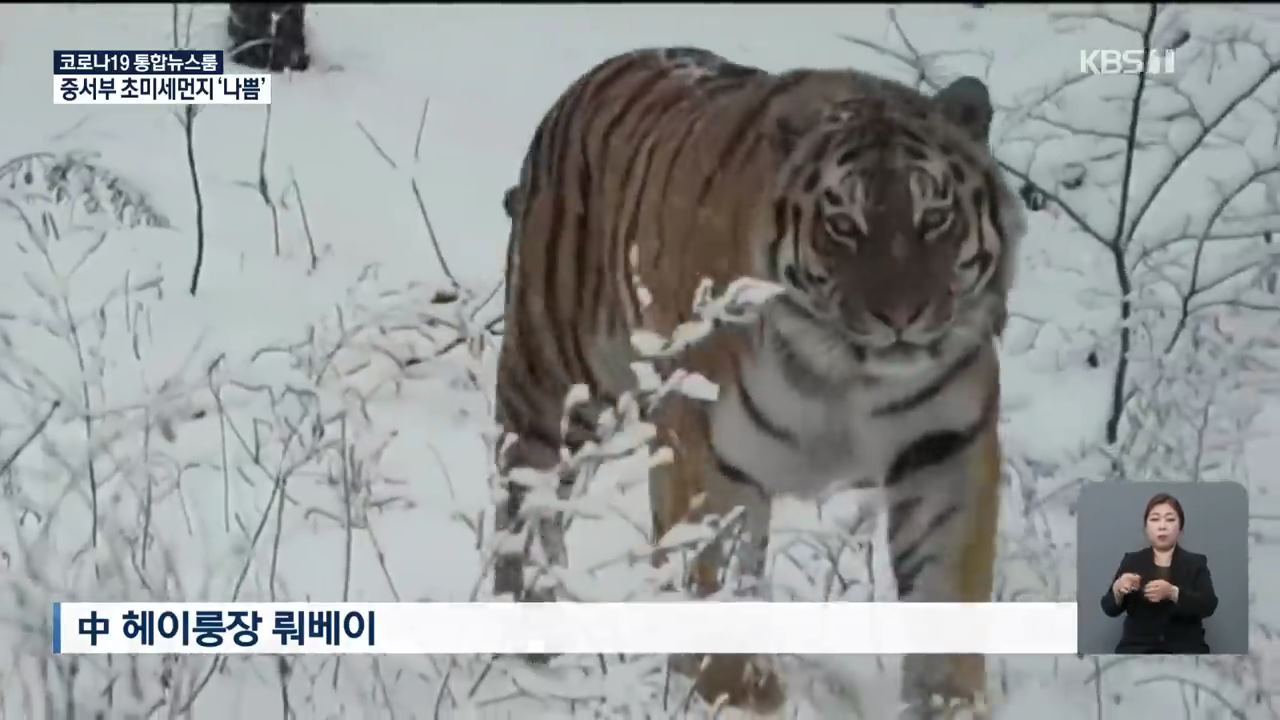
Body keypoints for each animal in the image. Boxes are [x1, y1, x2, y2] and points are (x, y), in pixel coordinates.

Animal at [488, 46, 1029, 717]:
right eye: (843, 223)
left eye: (934, 217)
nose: (901, 316)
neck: (845, 375)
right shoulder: (708, 452)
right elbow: (712, 579)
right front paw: (735, 689)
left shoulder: (942, 450)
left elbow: (945, 590)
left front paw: (946, 701)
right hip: (556, 389)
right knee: (523, 503)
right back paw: (528, 641)